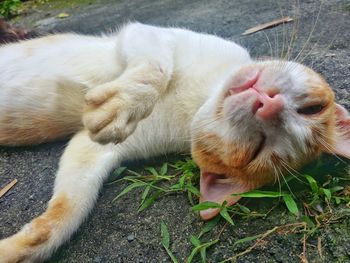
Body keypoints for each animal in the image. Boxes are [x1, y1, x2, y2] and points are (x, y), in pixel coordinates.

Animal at [0, 22, 350, 263]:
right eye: (313, 109)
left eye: (258, 149)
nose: (269, 106)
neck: (199, 95)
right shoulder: (150, 35)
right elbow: (156, 68)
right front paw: (126, 102)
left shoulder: (96, 147)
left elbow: (67, 211)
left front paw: (15, 249)